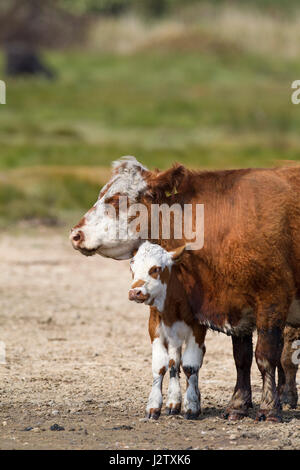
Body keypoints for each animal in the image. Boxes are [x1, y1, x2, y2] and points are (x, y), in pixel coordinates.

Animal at [129, 242, 206, 418]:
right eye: (132, 266)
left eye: (156, 268)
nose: (135, 292)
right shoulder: (155, 326)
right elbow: (161, 365)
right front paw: (153, 405)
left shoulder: (198, 328)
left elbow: (190, 365)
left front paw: (192, 405)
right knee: (174, 361)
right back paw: (173, 401)